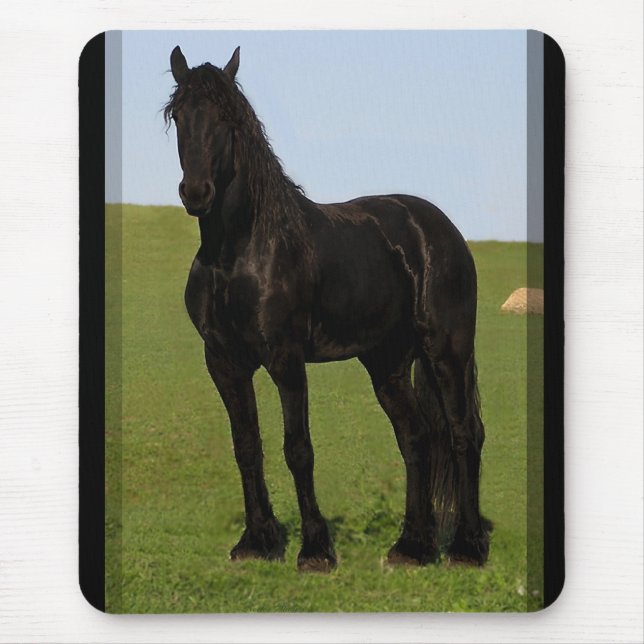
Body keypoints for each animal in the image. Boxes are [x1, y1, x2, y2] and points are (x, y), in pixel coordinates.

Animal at [165, 45, 490, 572]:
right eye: (178, 115)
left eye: (228, 119)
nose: (196, 193)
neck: (239, 253)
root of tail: (438, 228)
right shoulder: (224, 362)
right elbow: (246, 446)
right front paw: (257, 542)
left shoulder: (286, 359)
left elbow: (297, 448)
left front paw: (315, 551)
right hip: (387, 363)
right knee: (417, 438)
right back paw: (412, 547)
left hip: (447, 351)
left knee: (464, 434)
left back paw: (466, 547)